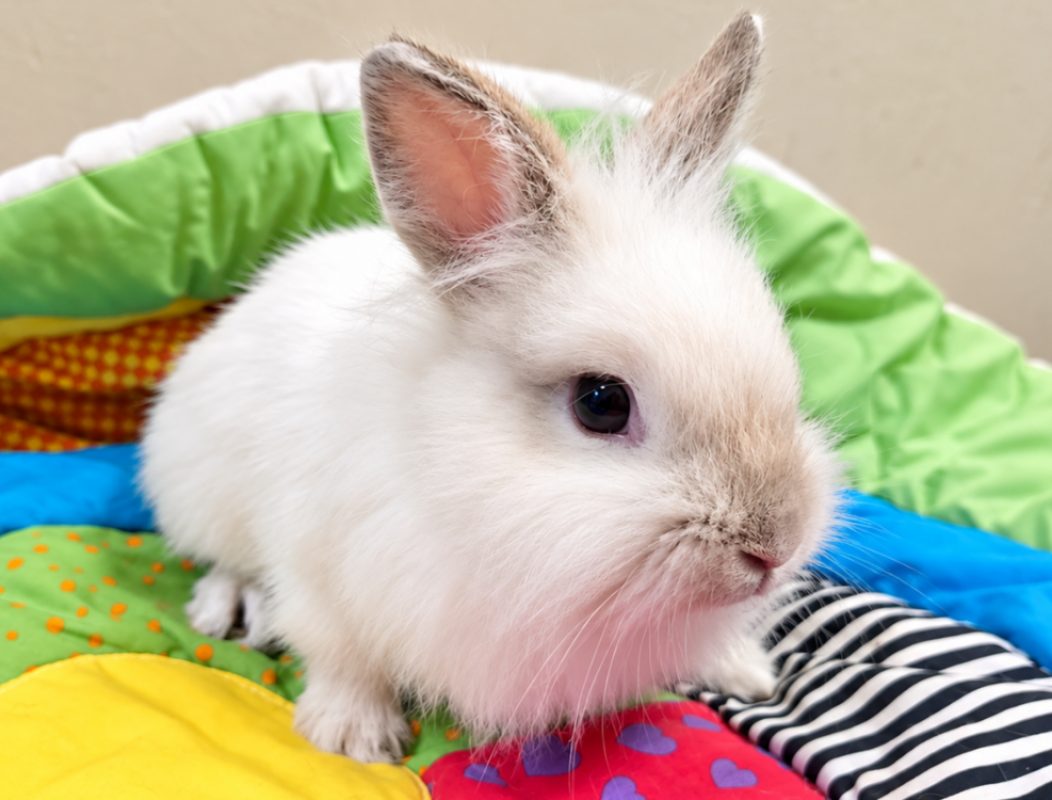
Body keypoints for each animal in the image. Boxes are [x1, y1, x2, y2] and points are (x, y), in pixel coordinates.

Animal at [140, 12, 840, 764]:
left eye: (786, 365)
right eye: (601, 402)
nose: (775, 547)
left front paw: (746, 669)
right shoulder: (322, 574)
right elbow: (340, 653)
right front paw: (355, 737)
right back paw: (222, 608)